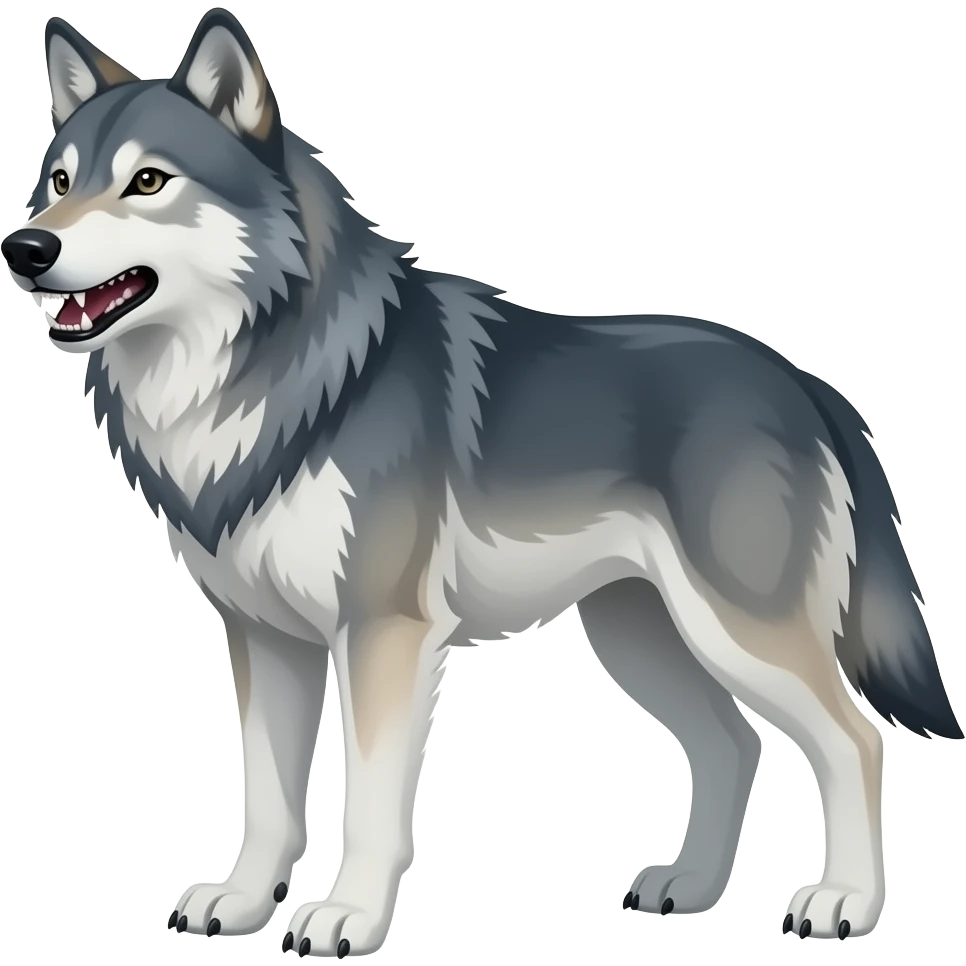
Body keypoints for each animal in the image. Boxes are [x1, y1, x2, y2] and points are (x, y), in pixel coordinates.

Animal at [4, 8, 960, 956]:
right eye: (57, 182)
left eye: (148, 182)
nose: (24, 246)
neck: (267, 375)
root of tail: (805, 383)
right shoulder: (265, 638)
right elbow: (268, 798)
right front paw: (240, 905)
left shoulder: (382, 633)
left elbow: (367, 803)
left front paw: (348, 916)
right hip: (641, 638)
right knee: (734, 743)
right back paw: (689, 888)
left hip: (737, 634)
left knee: (855, 740)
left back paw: (843, 904)